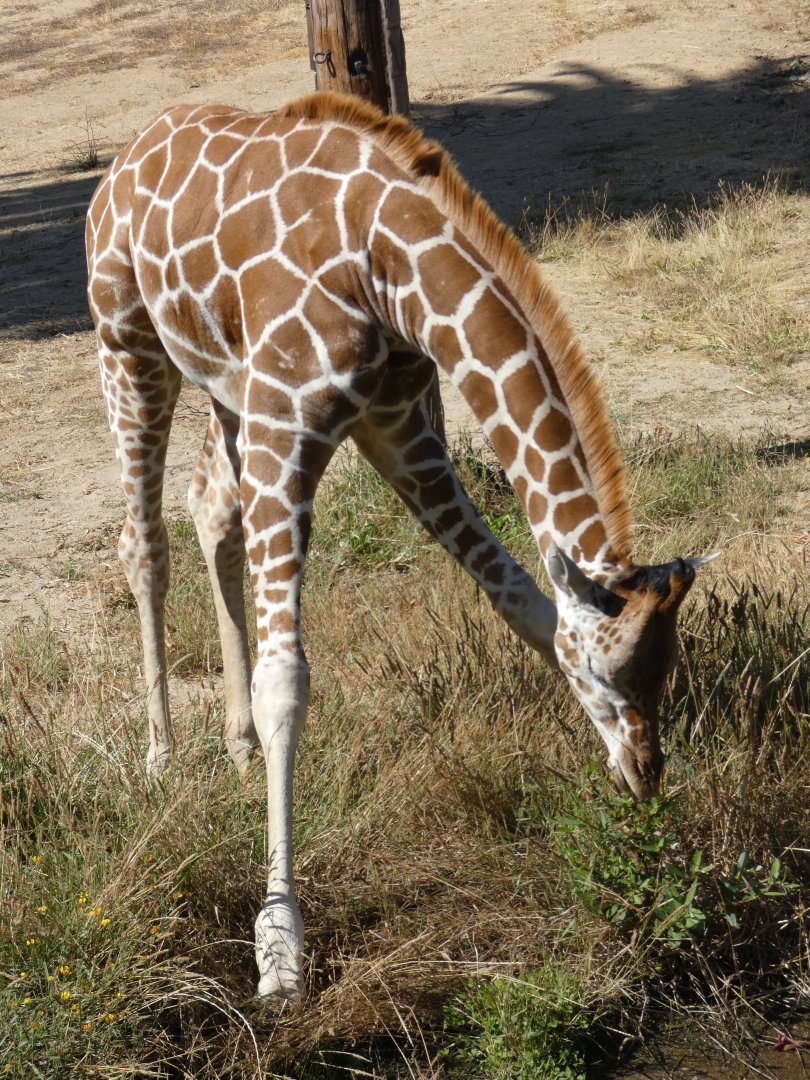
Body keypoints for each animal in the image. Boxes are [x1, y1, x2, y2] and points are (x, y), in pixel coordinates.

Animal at [85, 92, 711, 1001]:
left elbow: (522, 604)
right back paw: (161, 758)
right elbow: (288, 683)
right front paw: (280, 945)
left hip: (228, 389)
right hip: (128, 346)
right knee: (145, 542)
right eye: (607, 672)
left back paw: (234, 752)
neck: (391, 270)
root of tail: (125, 157)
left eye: (666, 668)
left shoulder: (397, 427)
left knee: (212, 513)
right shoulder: (293, 423)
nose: (645, 774)